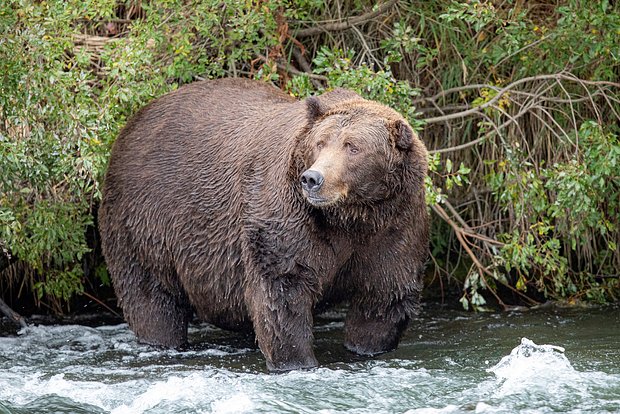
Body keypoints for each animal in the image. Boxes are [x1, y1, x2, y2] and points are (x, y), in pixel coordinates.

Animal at [99, 77, 428, 372]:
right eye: (320, 143)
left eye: (353, 146)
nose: (313, 179)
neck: (351, 217)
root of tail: (132, 123)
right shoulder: (288, 217)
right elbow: (282, 291)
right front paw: (297, 362)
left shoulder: (394, 226)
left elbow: (384, 295)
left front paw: (366, 346)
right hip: (145, 220)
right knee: (151, 296)